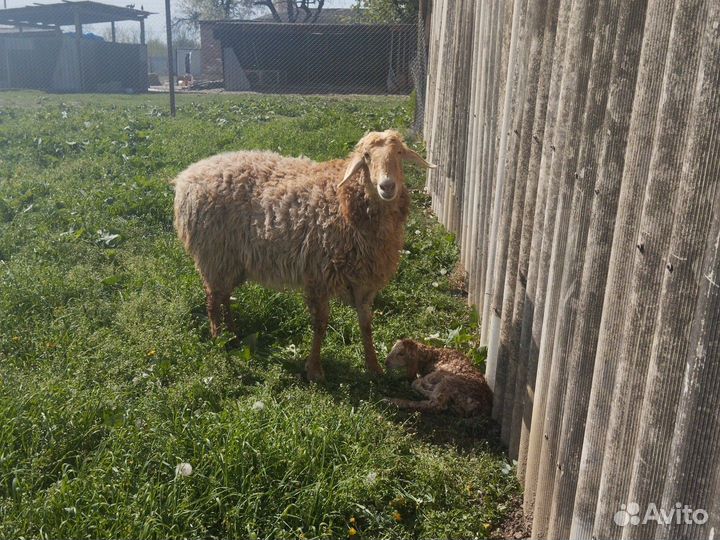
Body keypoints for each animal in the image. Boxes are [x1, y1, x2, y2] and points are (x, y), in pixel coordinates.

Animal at [173, 130, 435, 382]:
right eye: (367, 157)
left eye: (399, 153)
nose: (387, 186)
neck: (344, 205)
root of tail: (187, 176)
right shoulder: (319, 275)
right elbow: (320, 324)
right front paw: (315, 369)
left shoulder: (365, 281)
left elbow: (366, 324)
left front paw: (374, 367)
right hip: (214, 254)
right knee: (212, 299)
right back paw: (219, 337)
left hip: (232, 262)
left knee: (224, 295)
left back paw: (233, 333)